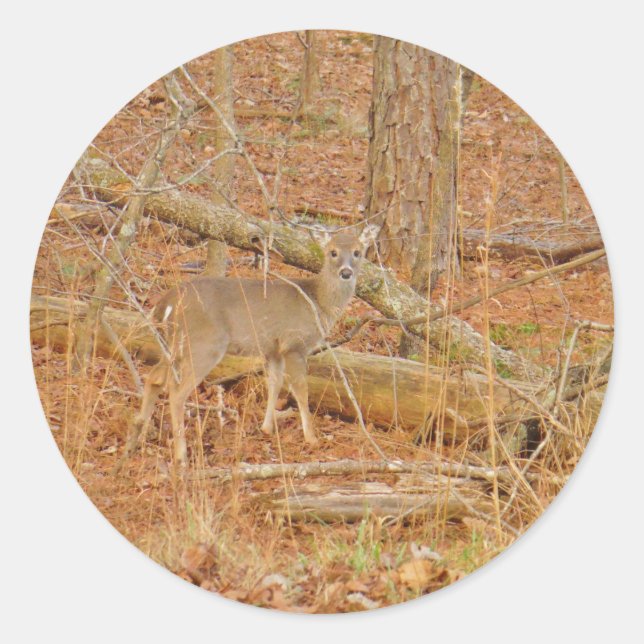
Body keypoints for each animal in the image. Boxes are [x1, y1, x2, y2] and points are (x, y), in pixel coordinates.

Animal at [119, 224, 378, 468]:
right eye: (332, 252)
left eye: (358, 252)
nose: (346, 272)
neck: (318, 303)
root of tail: (167, 302)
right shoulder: (294, 344)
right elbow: (300, 391)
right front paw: (311, 438)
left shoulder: (273, 349)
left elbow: (274, 384)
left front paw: (266, 428)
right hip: (205, 344)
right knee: (177, 392)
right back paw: (181, 456)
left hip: (173, 344)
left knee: (154, 377)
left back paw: (135, 438)